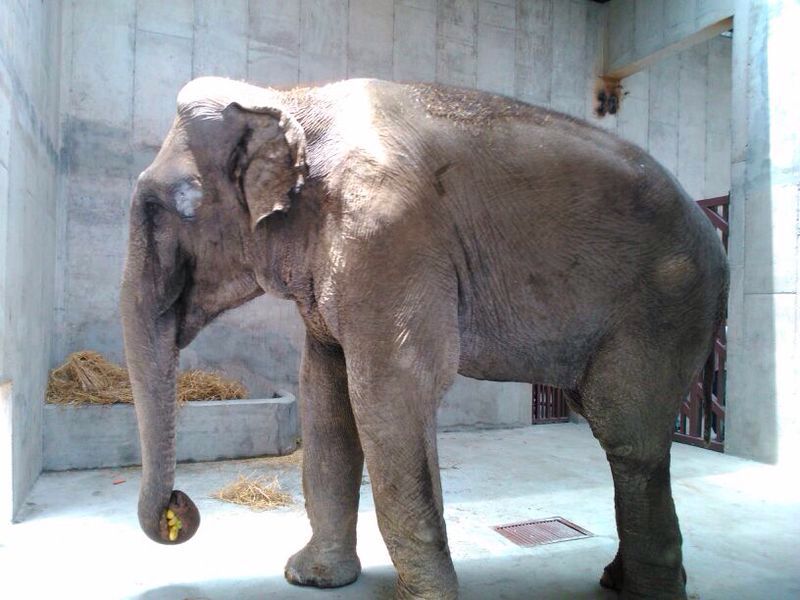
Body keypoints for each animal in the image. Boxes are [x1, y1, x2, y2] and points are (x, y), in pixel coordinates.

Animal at [120, 76, 728, 599]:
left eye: (159, 207)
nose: (180, 509)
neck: (291, 97)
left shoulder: (388, 238)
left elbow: (390, 395)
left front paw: (421, 597)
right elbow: (326, 398)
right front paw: (312, 579)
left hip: (665, 304)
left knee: (628, 436)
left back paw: (648, 592)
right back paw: (615, 579)